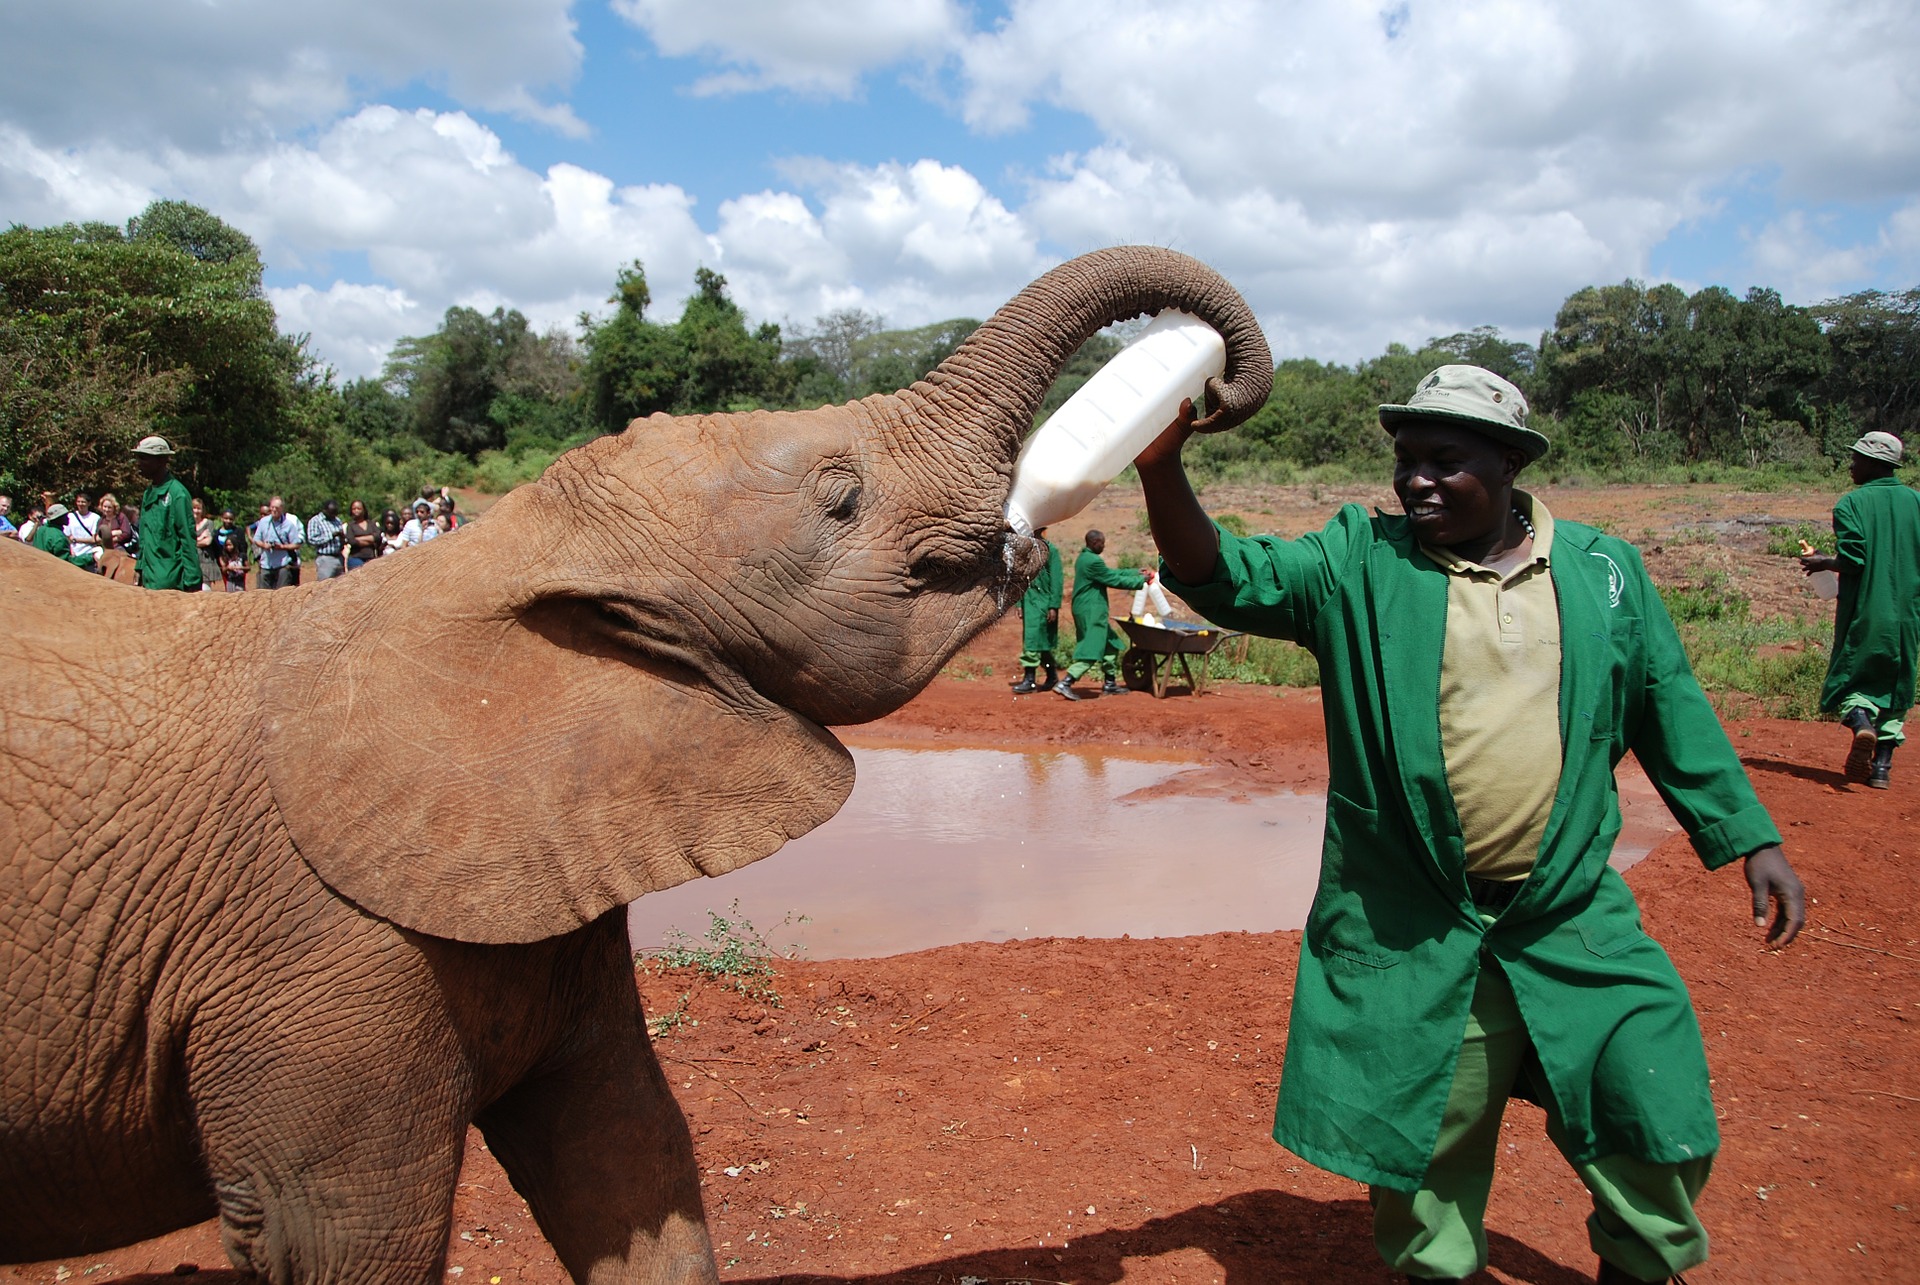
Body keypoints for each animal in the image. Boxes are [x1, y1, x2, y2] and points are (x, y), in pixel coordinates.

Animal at [0, 245, 1271, 1283]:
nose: (1209, 394)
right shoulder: (314, 946)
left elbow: (628, 1156)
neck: (494, 556)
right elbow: (341, 1237)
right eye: (842, 496)